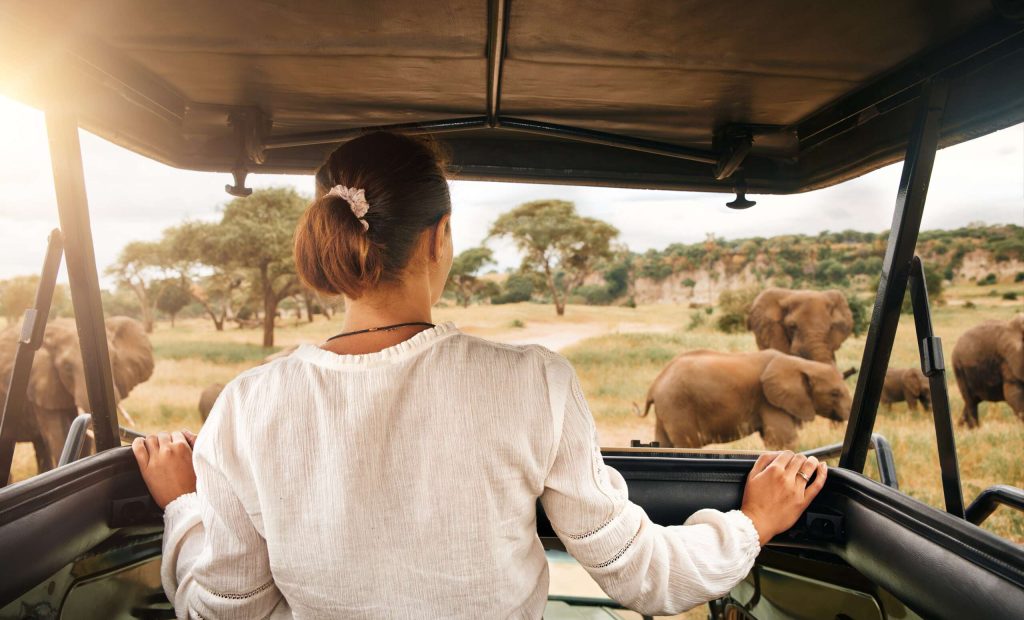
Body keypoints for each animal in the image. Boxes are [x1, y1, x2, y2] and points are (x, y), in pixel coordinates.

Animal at [637, 349, 852, 449]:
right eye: (834, 393)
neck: (802, 364)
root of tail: (655, 385)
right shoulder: (769, 401)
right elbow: (784, 442)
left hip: (667, 409)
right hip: (678, 406)